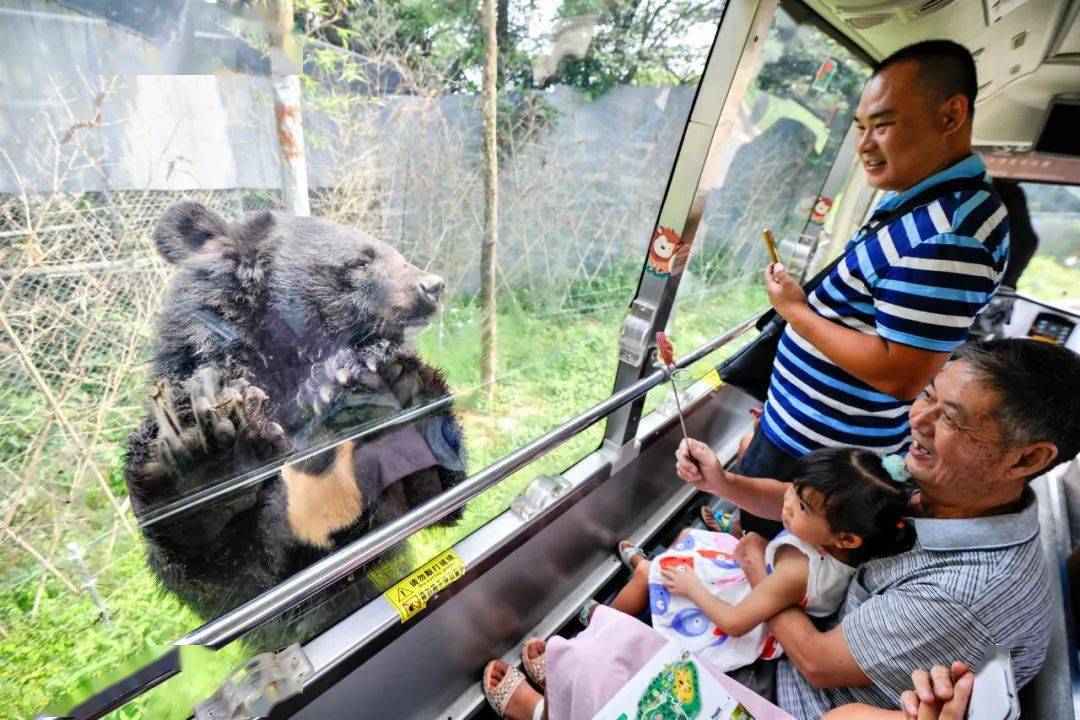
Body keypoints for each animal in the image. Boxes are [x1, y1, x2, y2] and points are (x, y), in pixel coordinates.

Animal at [124, 199, 466, 626]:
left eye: (394, 252)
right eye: (360, 261)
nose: (432, 286)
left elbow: (426, 493)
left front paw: (391, 392)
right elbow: (233, 578)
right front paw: (202, 458)